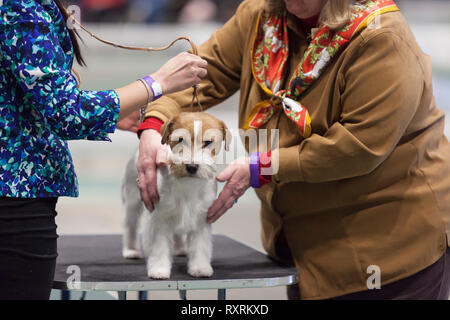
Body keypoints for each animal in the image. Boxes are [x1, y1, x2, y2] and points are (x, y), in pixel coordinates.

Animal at [121, 114, 230, 278]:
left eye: (208, 142)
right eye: (180, 139)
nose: (192, 167)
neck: (187, 183)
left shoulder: (201, 219)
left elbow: (201, 246)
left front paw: (200, 268)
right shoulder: (158, 217)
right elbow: (159, 247)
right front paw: (159, 269)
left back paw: (180, 249)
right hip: (133, 201)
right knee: (130, 226)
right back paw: (131, 250)